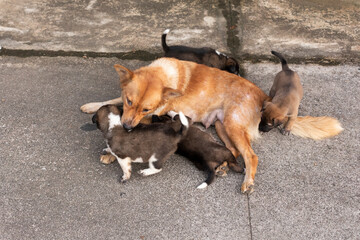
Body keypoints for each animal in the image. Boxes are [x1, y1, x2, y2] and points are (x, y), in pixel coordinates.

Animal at [82, 57, 344, 193]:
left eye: (146, 109)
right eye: (130, 101)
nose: (127, 128)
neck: (163, 74)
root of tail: (264, 97)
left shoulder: (150, 116)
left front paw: (110, 152)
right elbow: (111, 100)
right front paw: (92, 106)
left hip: (231, 123)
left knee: (251, 156)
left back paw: (247, 181)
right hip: (221, 126)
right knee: (236, 152)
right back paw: (224, 168)